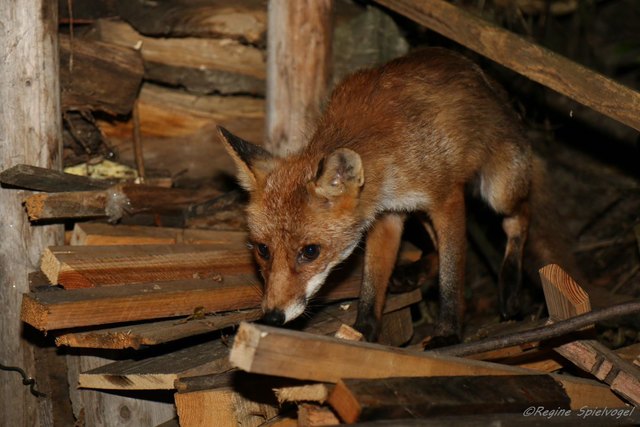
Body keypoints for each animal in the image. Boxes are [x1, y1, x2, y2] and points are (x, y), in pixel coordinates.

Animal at [219, 47, 532, 343]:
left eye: (310, 252)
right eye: (263, 250)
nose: (273, 316)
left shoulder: (447, 198)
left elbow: (452, 274)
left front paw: (447, 333)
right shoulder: (388, 215)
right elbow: (372, 282)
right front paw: (363, 331)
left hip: (498, 190)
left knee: (520, 216)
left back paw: (511, 286)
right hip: (421, 211)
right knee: (437, 245)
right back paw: (415, 273)